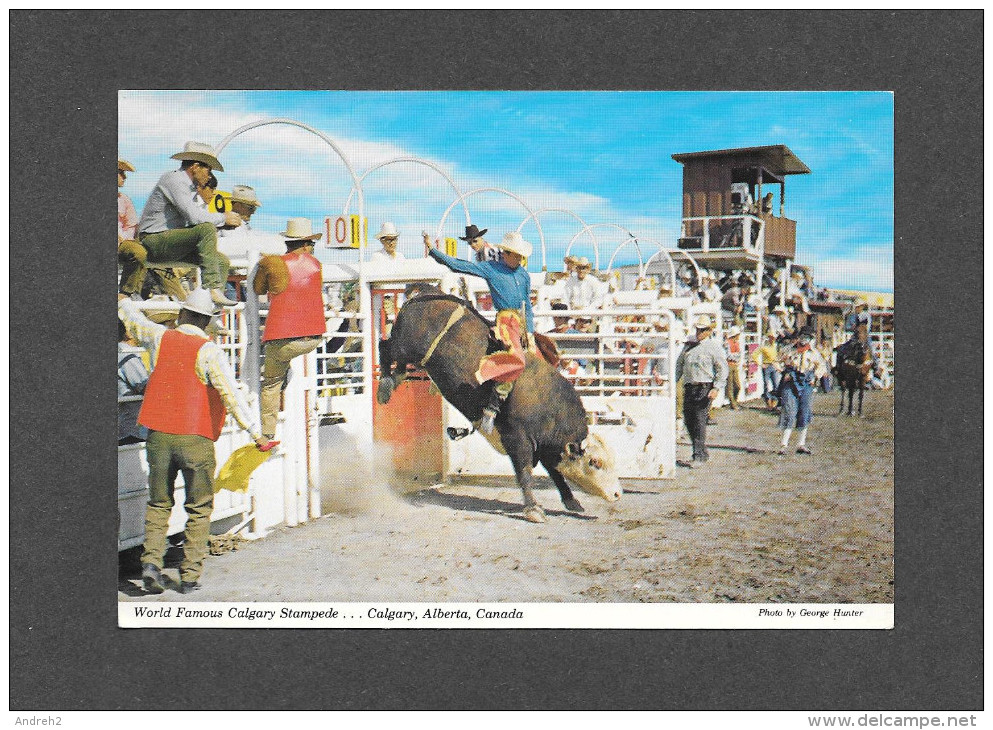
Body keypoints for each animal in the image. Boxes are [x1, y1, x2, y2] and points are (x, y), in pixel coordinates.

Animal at [378, 286, 620, 524]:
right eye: (594, 462)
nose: (618, 494)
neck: (548, 406)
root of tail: (424, 291)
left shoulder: (543, 446)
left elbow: (555, 473)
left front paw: (571, 501)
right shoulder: (518, 439)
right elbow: (525, 474)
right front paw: (533, 509)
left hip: (414, 356)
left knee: (399, 364)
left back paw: (393, 380)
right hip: (405, 345)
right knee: (384, 346)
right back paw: (384, 387)